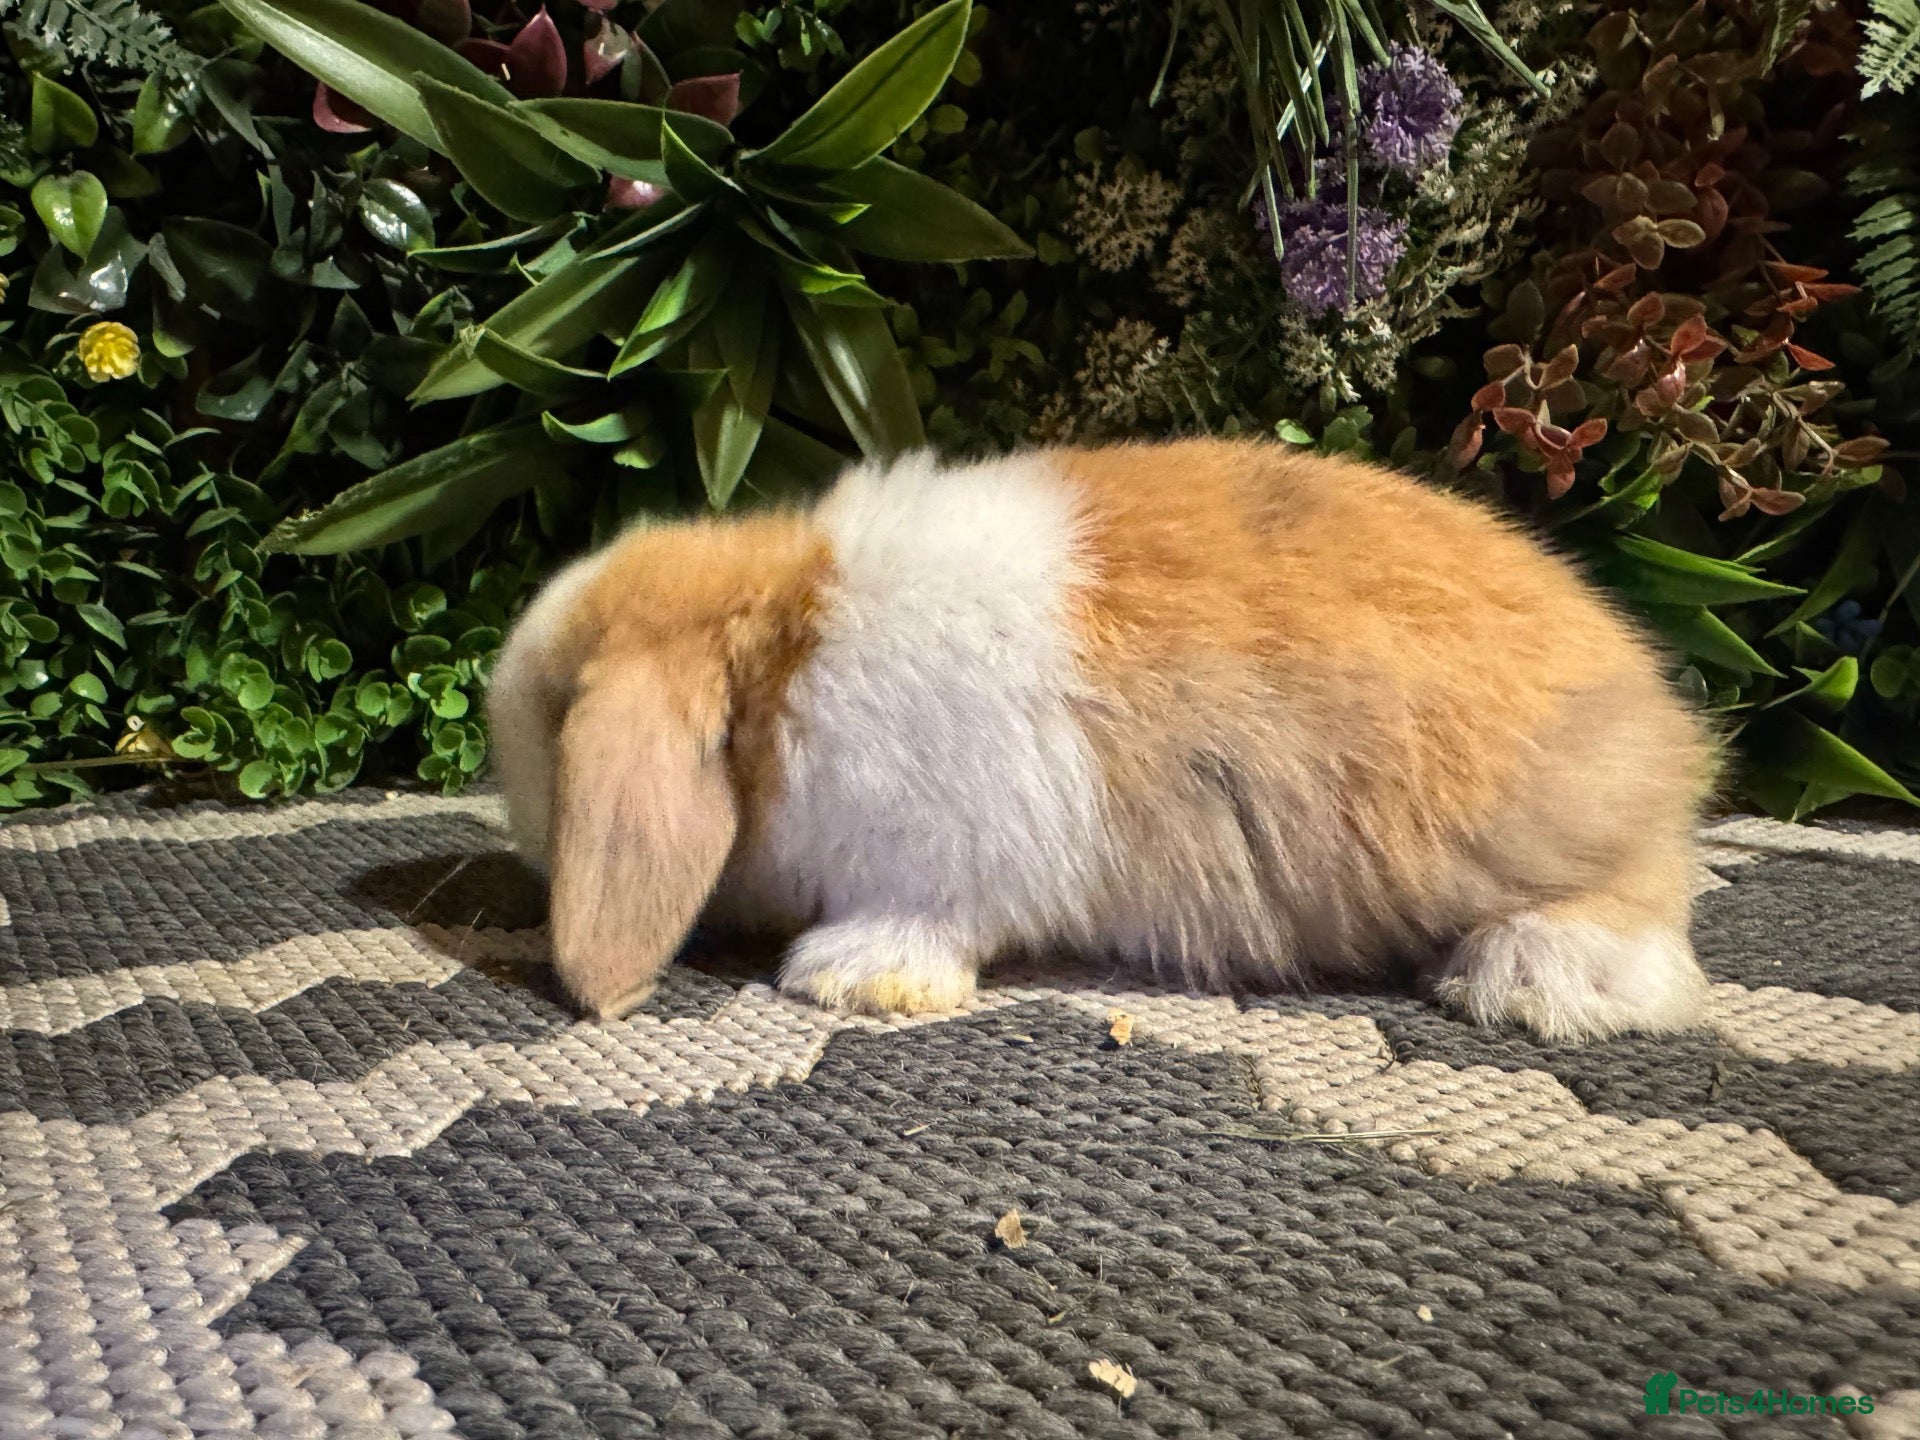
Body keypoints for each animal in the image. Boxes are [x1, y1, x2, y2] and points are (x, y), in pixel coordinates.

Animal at [487, 437, 1721, 1041]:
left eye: (554, 713)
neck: (787, 660)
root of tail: (1658, 716)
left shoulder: (944, 859)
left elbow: (926, 919)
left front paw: (848, 980)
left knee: (1642, 919)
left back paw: (1528, 984)